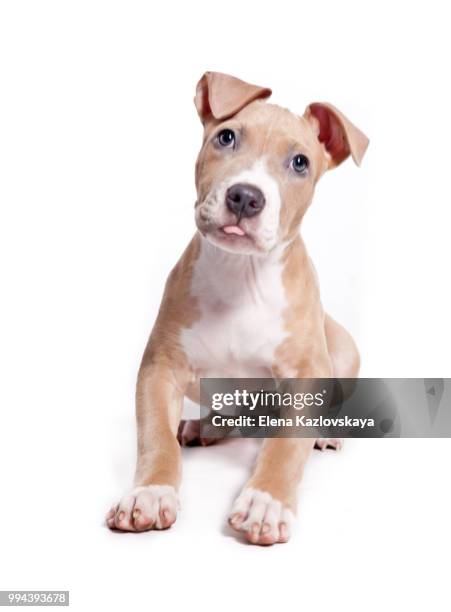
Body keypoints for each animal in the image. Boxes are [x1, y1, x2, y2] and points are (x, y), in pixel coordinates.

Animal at [107, 70, 370, 544]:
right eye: (226, 137)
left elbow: (286, 446)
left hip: (344, 347)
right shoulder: (160, 367)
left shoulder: (306, 372)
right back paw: (202, 426)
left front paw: (266, 503)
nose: (246, 196)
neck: (242, 275)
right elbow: (155, 435)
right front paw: (150, 493)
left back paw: (323, 435)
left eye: (300, 163)